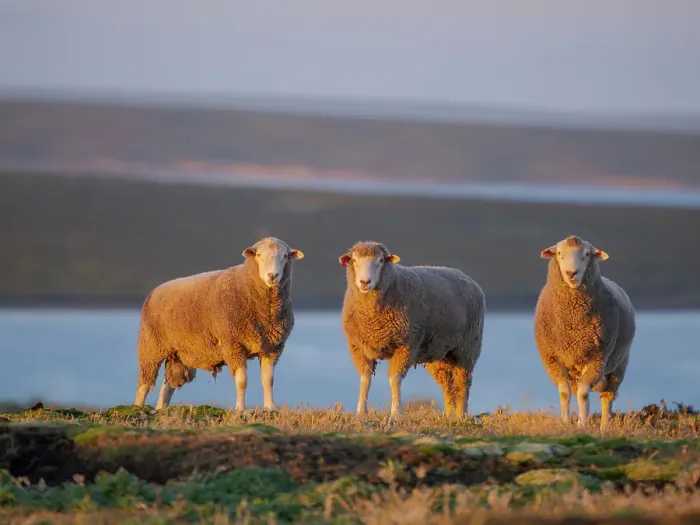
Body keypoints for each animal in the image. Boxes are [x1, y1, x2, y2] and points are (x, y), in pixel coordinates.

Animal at [133, 236, 304, 411]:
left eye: (285, 256)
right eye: (258, 255)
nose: (272, 275)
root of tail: (155, 290)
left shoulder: (273, 348)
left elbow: (268, 380)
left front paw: (270, 408)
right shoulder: (233, 344)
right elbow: (242, 381)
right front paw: (240, 409)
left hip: (179, 354)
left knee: (167, 387)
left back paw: (161, 409)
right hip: (151, 348)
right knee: (144, 385)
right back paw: (137, 408)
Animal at [338, 240, 485, 419]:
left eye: (380, 261)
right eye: (354, 260)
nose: (365, 282)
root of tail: (466, 276)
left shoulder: (406, 345)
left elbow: (394, 379)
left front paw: (395, 413)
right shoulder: (357, 347)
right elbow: (365, 379)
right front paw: (360, 412)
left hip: (467, 348)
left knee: (463, 382)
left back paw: (460, 415)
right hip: (440, 354)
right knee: (447, 384)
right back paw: (448, 415)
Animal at [534, 235, 636, 429]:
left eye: (587, 254)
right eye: (559, 253)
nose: (571, 273)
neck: (572, 322)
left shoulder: (597, 358)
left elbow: (583, 394)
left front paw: (582, 424)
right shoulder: (553, 359)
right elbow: (565, 393)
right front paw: (565, 424)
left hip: (619, 365)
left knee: (608, 397)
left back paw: (604, 427)